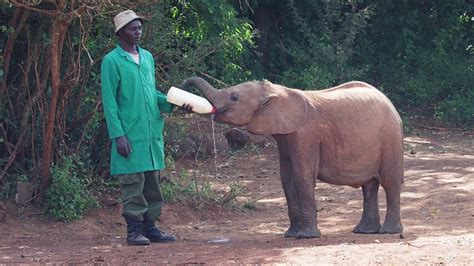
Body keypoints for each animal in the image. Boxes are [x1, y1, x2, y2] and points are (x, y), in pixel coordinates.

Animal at [181, 77, 404, 239]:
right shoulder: (286, 137)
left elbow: (302, 175)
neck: (276, 91)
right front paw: (291, 235)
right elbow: (287, 178)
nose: (182, 87)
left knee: (390, 182)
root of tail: (391, 104)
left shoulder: (306, 135)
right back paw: (364, 231)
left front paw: (306, 237)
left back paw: (388, 232)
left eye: (234, 97)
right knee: (370, 186)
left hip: (390, 137)